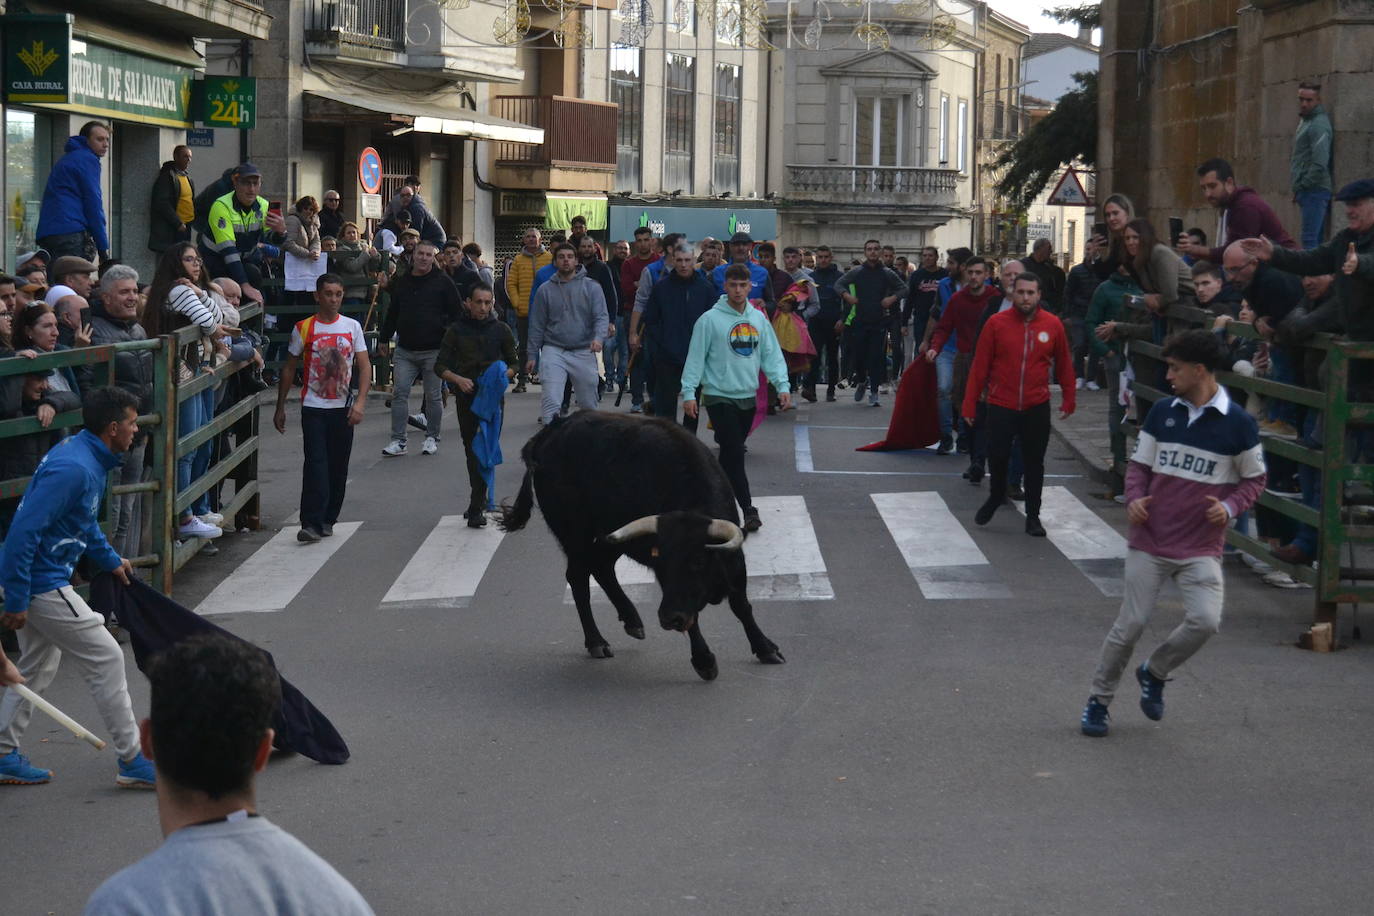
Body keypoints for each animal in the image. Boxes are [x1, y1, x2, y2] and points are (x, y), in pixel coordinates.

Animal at [502, 411, 785, 678]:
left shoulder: (735, 564)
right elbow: (694, 617)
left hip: (610, 537)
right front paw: (704, 661)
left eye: (698, 561)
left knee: (602, 568)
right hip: (574, 535)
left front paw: (766, 648)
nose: (669, 618)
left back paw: (632, 621)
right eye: (662, 562)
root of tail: (550, 433)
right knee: (579, 578)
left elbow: (741, 606)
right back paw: (597, 641)